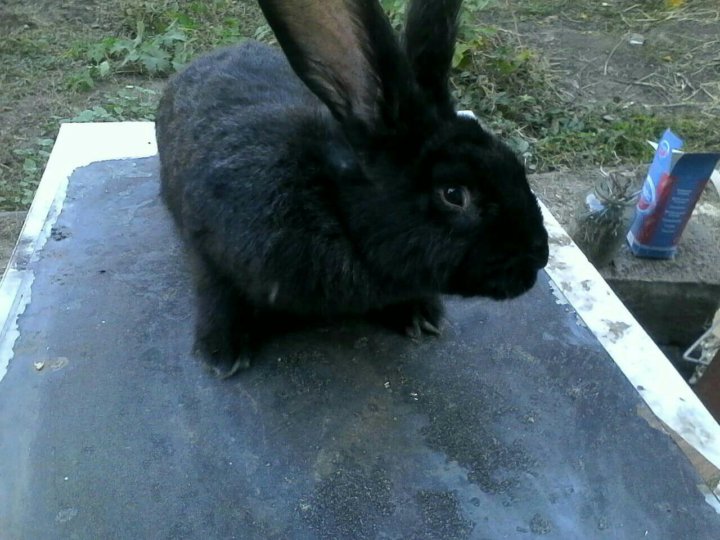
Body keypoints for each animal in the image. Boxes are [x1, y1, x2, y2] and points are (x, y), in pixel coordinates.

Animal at [155, 0, 549, 377]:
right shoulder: (211, 252)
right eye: (454, 194)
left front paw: (421, 316)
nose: (538, 257)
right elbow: (219, 298)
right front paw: (224, 354)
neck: (333, 204)